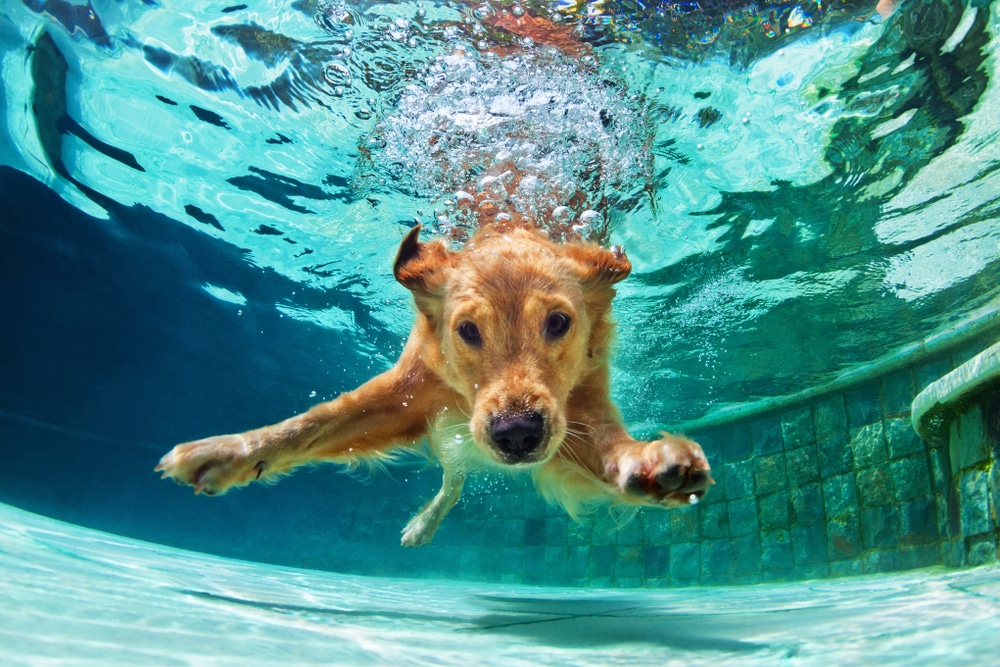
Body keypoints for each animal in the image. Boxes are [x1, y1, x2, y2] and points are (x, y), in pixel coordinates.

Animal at [156, 222, 712, 544]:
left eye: (558, 322)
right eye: (467, 330)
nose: (517, 434)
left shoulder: (578, 409)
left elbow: (611, 448)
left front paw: (652, 463)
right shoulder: (406, 394)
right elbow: (311, 424)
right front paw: (227, 452)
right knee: (453, 478)